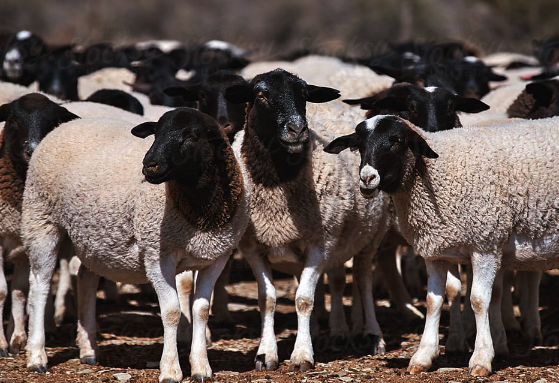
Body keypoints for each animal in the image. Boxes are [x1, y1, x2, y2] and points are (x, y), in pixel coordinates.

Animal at [0, 93, 79, 356]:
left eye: (53, 122)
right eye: (13, 119)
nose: (31, 151)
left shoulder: (26, 243)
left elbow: (20, 291)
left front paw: (18, 338)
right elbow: (2, 291)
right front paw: (2, 344)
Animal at [21, 106, 249, 382]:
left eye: (192, 136)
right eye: (156, 133)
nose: (149, 165)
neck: (201, 212)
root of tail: (64, 126)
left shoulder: (215, 258)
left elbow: (201, 310)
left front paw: (201, 367)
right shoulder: (157, 255)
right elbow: (172, 311)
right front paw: (171, 369)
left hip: (94, 238)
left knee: (85, 277)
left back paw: (89, 350)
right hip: (41, 217)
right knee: (40, 286)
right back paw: (37, 356)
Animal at [225, 69, 392, 372]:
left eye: (303, 94)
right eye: (260, 94)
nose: (297, 129)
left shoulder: (319, 243)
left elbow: (303, 299)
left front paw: (302, 355)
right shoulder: (253, 247)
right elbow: (267, 299)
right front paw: (266, 354)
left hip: (372, 233)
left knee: (362, 278)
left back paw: (371, 334)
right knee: (336, 279)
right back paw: (333, 331)